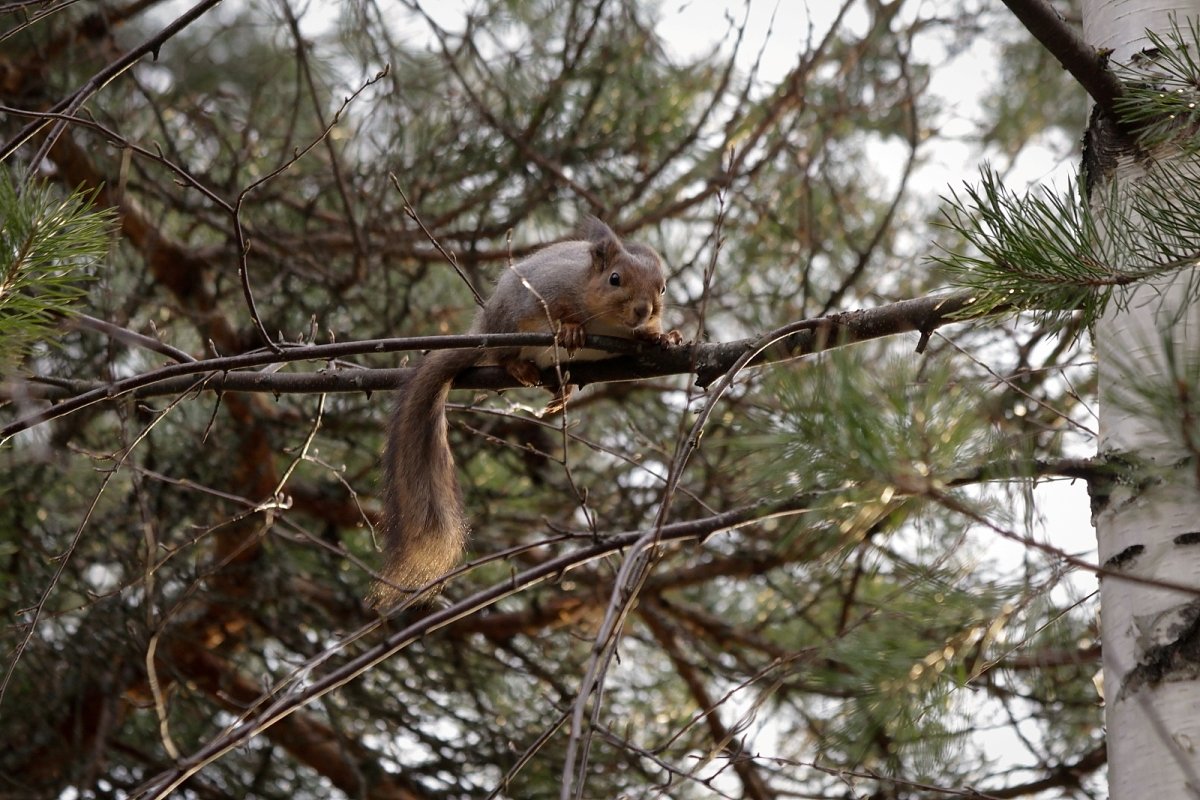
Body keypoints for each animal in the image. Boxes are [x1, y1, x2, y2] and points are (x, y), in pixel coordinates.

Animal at [364, 215, 681, 609]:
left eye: (663, 288)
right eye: (615, 279)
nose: (643, 310)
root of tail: (482, 328)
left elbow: (649, 337)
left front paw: (663, 336)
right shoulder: (551, 289)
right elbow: (561, 312)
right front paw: (571, 329)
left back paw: (562, 390)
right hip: (509, 325)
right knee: (502, 355)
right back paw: (521, 367)